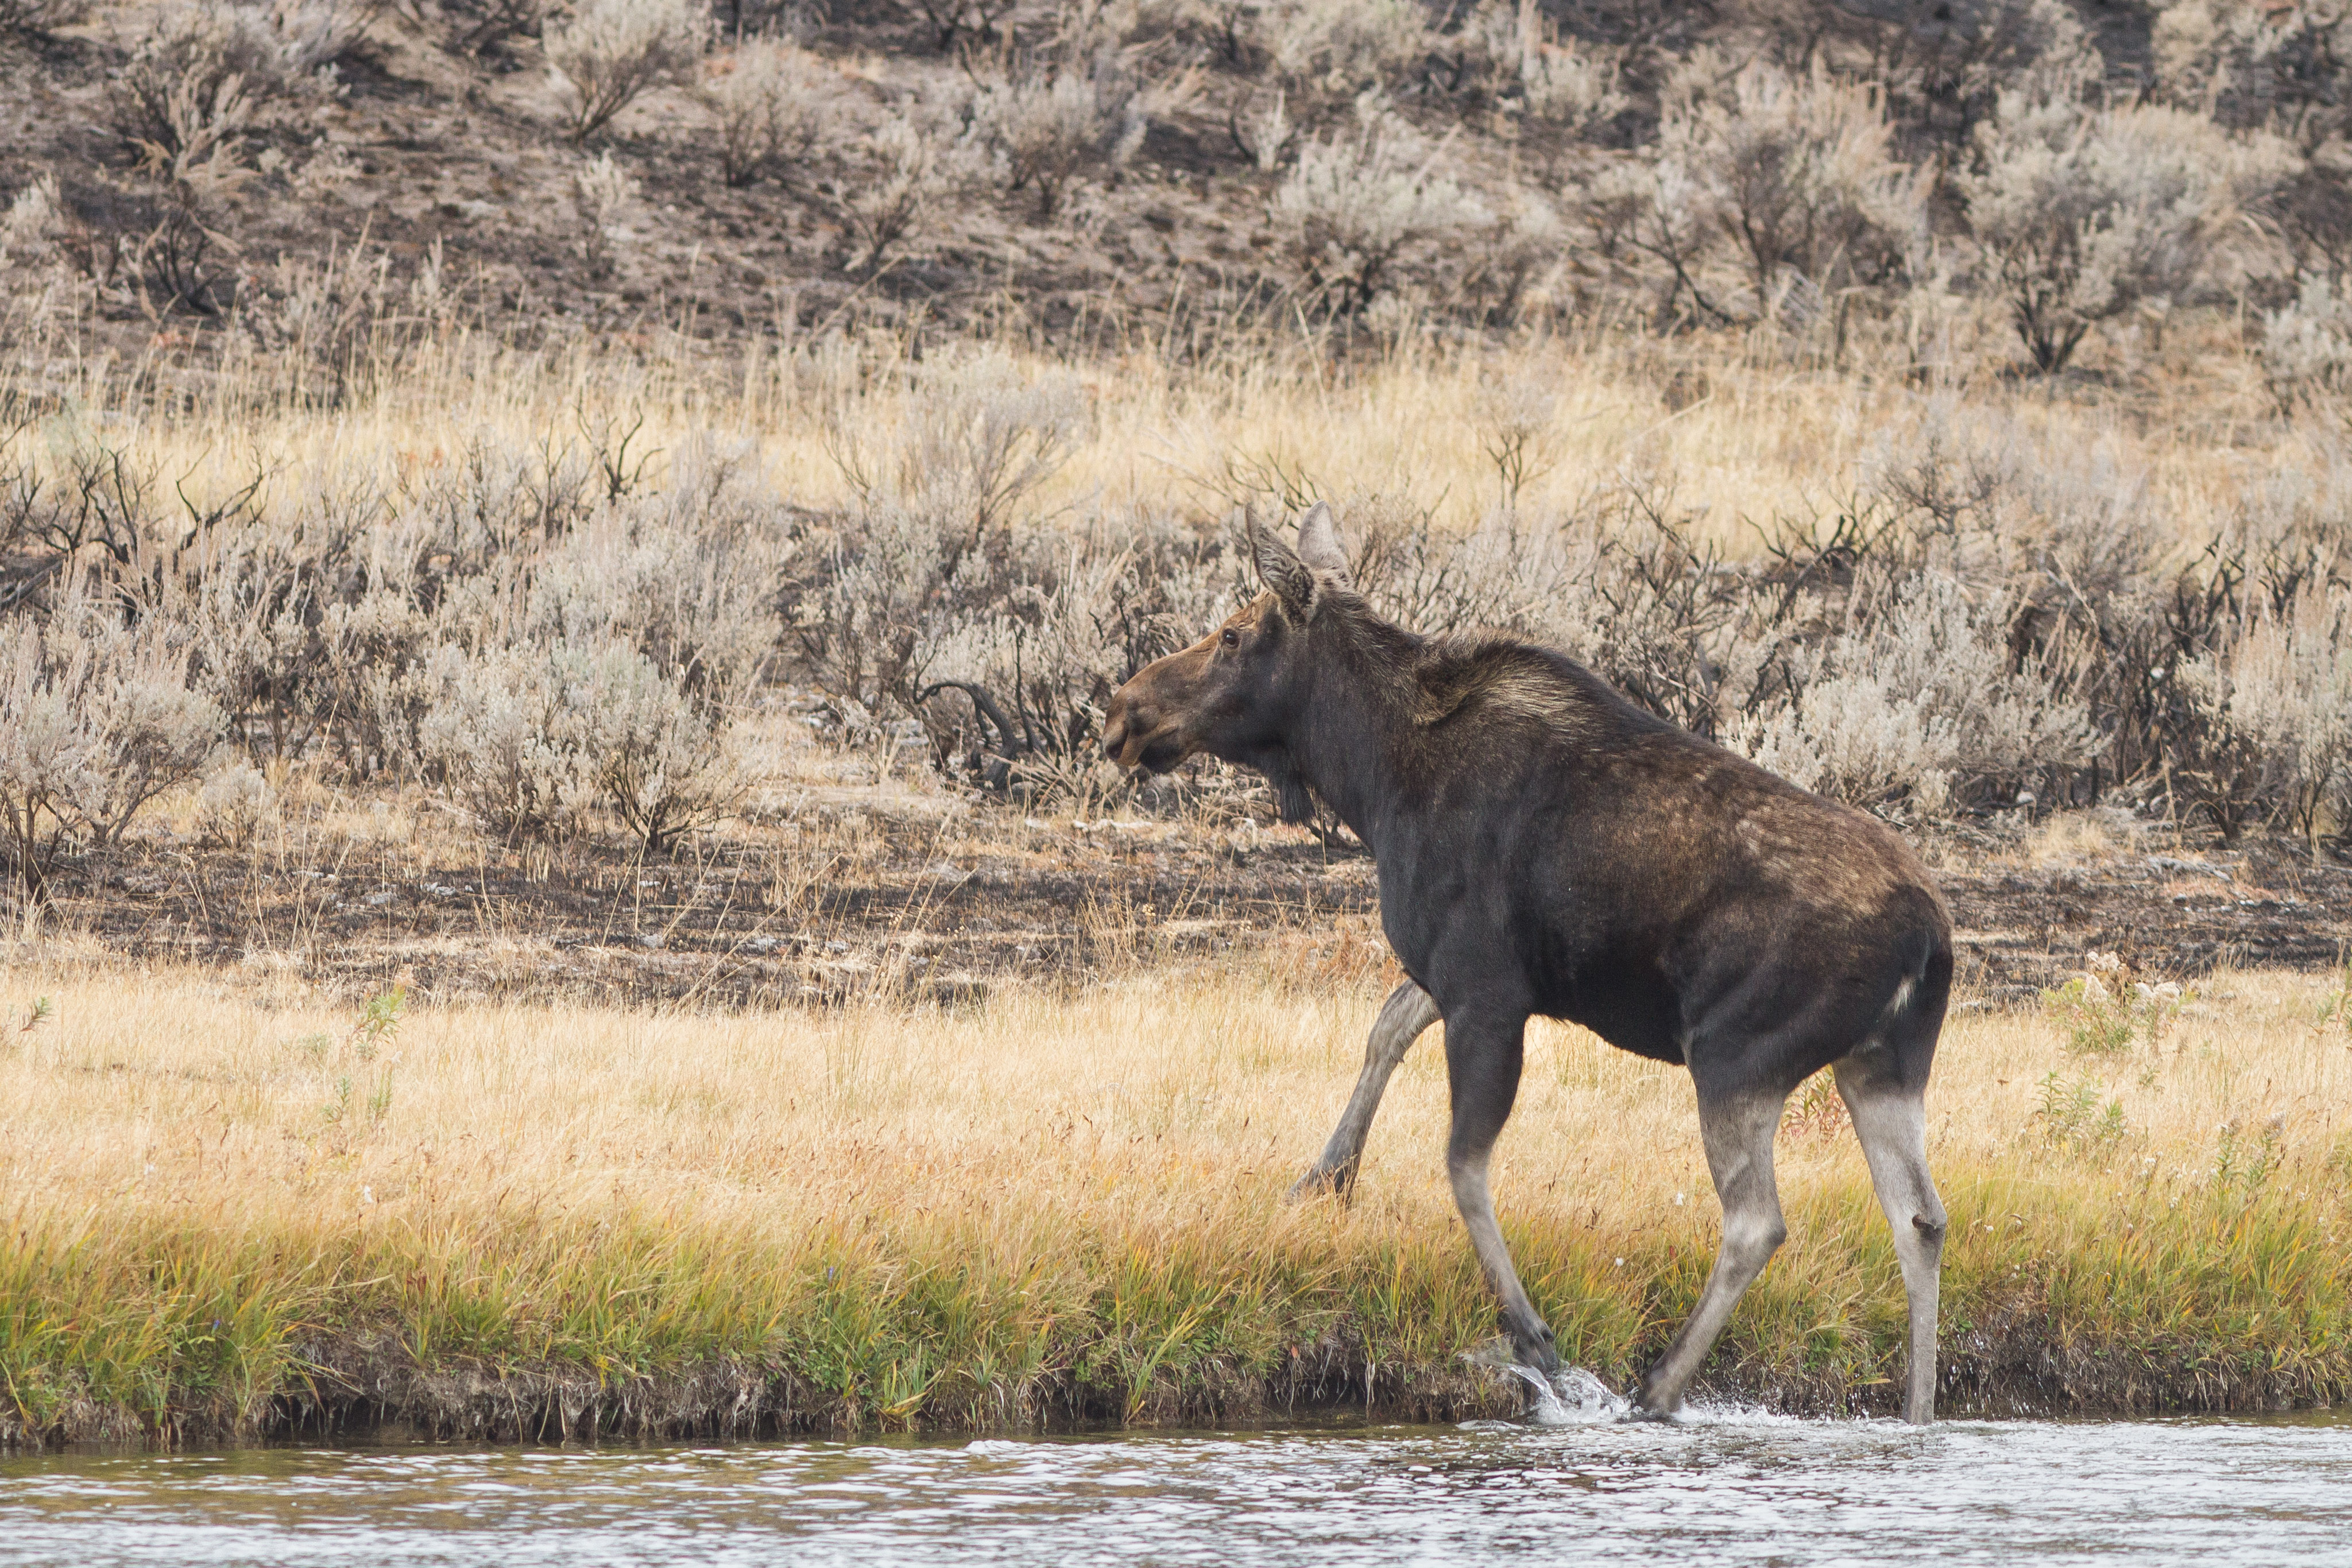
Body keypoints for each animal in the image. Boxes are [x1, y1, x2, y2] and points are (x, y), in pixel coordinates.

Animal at [1100, 503, 1947, 1420]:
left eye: (1231, 633)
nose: (1123, 712)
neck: (1368, 777)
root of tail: (1929, 936)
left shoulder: (1486, 990)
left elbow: (1461, 1161)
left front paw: (1532, 1334)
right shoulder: (1452, 970)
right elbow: (1383, 1030)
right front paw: (1322, 1179)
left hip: (1736, 1055)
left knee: (1758, 1221)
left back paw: (1656, 1385)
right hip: (1883, 1062)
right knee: (1919, 1217)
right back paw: (1916, 1412)